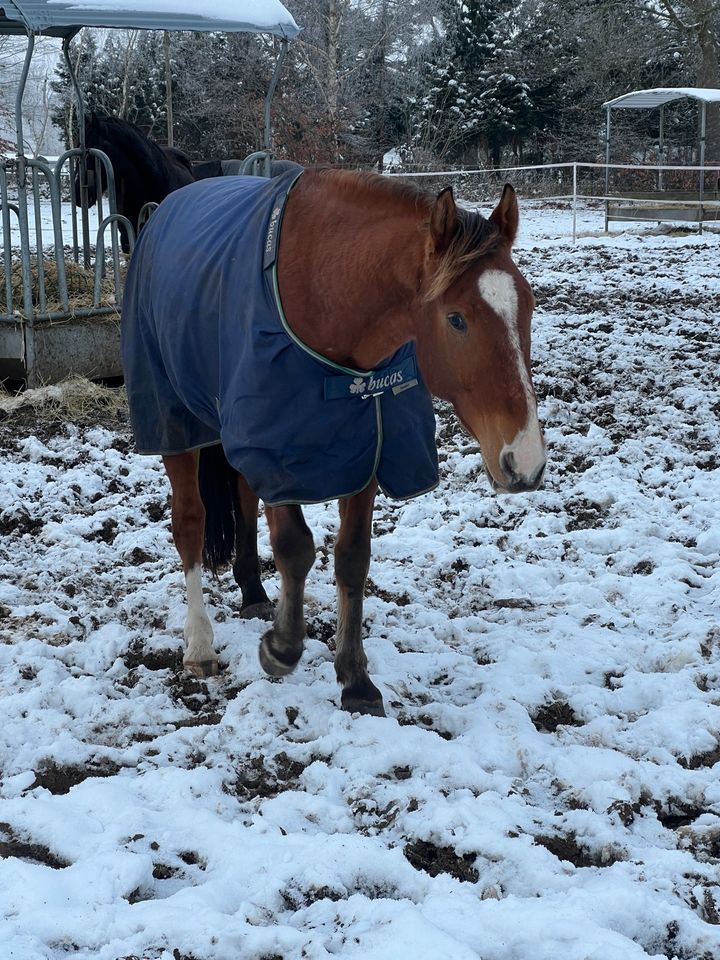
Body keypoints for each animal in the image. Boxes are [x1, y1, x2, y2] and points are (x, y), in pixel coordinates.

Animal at [121, 169, 544, 716]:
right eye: (457, 319)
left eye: (529, 305)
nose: (525, 462)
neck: (325, 293)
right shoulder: (276, 447)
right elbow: (295, 546)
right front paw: (282, 648)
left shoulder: (365, 442)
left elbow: (352, 557)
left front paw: (355, 679)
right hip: (174, 418)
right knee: (190, 521)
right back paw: (198, 644)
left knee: (242, 494)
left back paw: (253, 591)